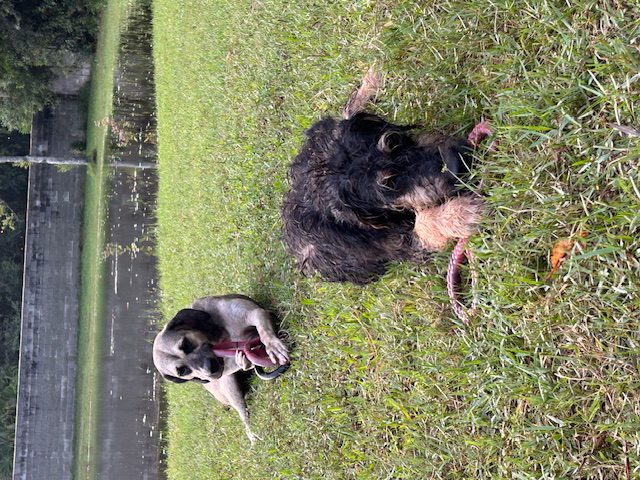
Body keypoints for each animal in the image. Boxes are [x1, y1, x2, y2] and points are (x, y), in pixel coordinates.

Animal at [152, 294, 288, 444]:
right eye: (183, 371)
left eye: (185, 344)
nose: (210, 370)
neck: (218, 336)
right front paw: (246, 360)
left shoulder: (255, 313)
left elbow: (264, 332)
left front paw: (272, 346)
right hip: (230, 387)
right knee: (244, 415)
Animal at [282, 77, 488, 284]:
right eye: (390, 183)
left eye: (394, 141)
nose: (458, 162)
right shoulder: (401, 246)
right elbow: (422, 226)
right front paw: (463, 212)